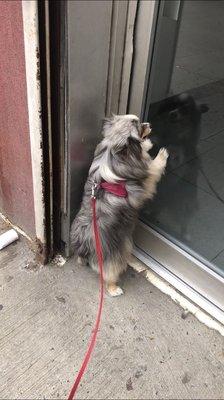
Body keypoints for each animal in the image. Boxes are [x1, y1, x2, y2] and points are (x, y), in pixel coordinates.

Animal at [70, 114, 168, 296]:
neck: (112, 151)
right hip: (115, 254)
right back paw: (114, 289)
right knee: (109, 272)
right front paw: (161, 154)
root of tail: (86, 244)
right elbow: (152, 169)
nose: (149, 124)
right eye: (140, 127)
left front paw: (147, 145)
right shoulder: (144, 183)